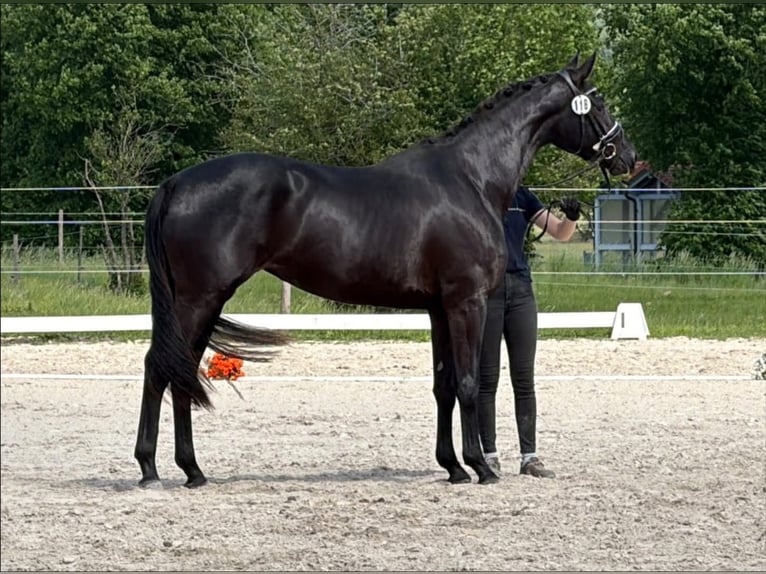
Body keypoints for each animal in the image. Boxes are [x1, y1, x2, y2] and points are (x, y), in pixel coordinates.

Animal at [134, 52, 636, 488]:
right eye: (598, 100)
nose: (627, 157)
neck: (470, 178)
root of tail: (176, 183)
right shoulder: (466, 302)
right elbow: (469, 382)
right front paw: (480, 466)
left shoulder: (438, 309)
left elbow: (444, 385)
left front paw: (453, 467)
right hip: (199, 299)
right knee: (162, 367)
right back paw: (153, 470)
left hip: (202, 301)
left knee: (180, 370)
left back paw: (189, 470)